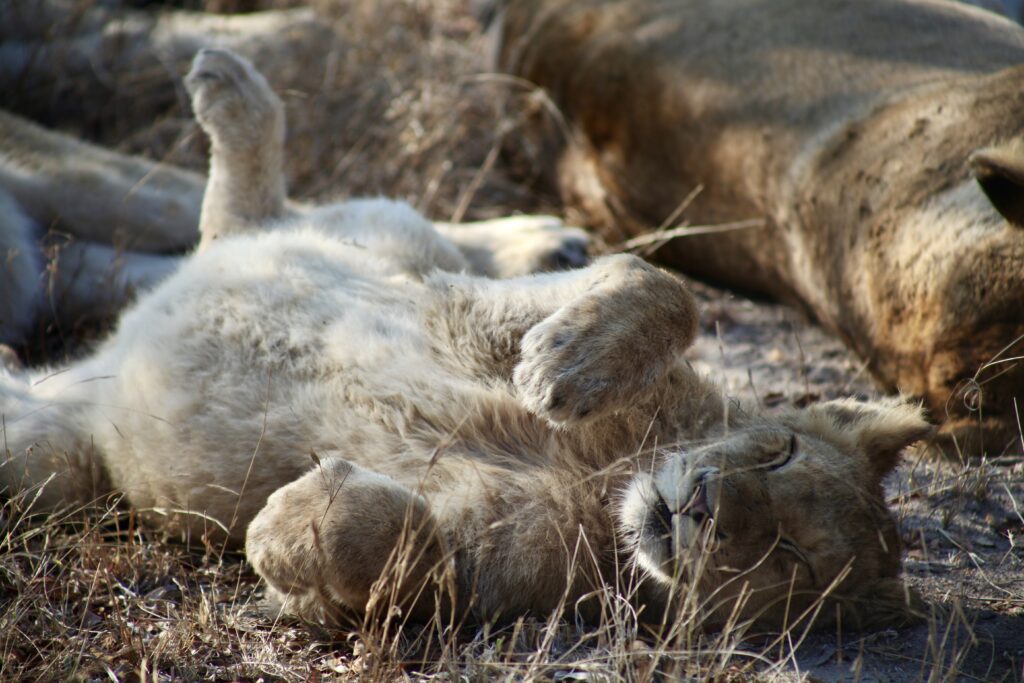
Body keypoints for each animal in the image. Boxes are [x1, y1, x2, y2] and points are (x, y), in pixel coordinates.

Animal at [0, 48, 929, 634]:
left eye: (792, 558)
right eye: (776, 451)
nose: (702, 503)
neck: (615, 468)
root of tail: (104, 359)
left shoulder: (475, 576)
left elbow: (390, 543)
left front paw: (291, 515)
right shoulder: (469, 306)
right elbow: (656, 283)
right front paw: (563, 368)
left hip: (42, 467)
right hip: (385, 234)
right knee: (256, 214)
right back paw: (232, 90)